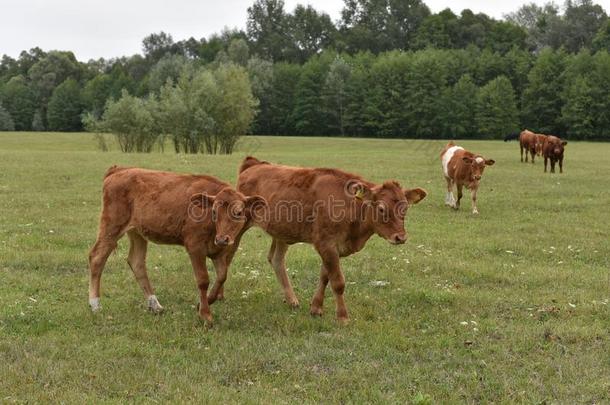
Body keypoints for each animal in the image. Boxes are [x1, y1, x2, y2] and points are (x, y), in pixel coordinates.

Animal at [87, 166, 264, 324]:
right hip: (111, 226)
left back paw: (155, 305)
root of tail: (119, 170)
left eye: (238, 212)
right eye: (214, 212)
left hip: (137, 232)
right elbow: (203, 280)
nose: (222, 239)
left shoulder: (219, 251)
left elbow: (222, 276)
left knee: (136, 262)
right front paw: (205, 315)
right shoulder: (195, 246)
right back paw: (95, 304)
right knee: (97, 257)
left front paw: (205, 302)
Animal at [235, 156, 426, 320]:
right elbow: (338, 282)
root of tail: (254, 164)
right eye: (381, 208)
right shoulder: (326, 244)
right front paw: (342, 317)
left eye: (405, 208)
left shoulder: (333, 248)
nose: (400, 237)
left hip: (282, 232)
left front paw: (316, 308)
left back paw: (292, 300)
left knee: (276, 259)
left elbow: (325, 277)